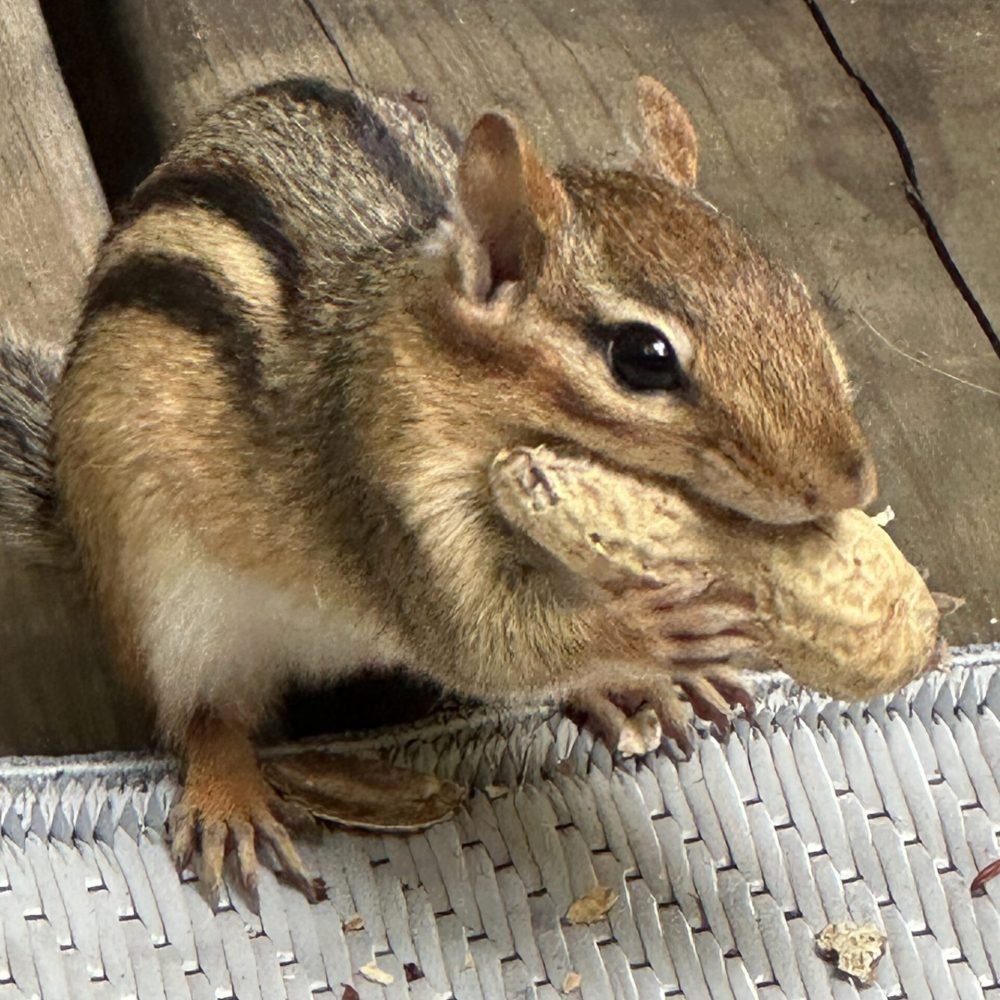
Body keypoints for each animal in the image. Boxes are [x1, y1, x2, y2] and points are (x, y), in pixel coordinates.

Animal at [1, 76, 876, 903]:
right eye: (644, 357)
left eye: (795, 293)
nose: (846, 479)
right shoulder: (385, 491)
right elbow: (479, 638)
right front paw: (645, 633)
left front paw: (643, 669)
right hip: (167, 606)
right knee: (202, 714)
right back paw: (228, 799)